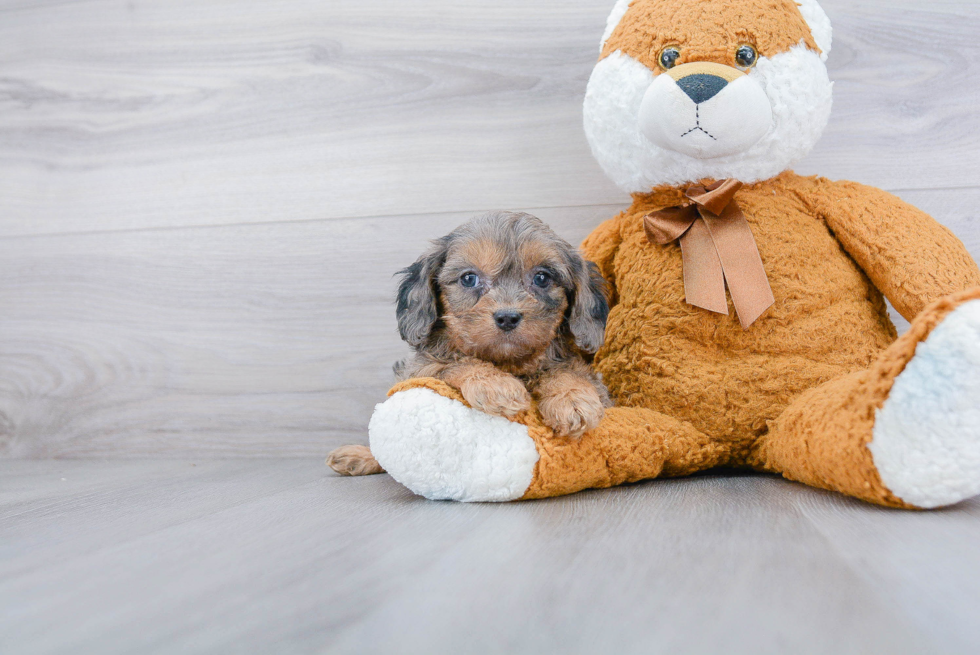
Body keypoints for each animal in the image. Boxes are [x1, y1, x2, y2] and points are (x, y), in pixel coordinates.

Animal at [326, 213, 608, 480]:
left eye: (542, 277)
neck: (509, 362)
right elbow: (455, 363)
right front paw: (495, 384)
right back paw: (359, 456)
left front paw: (572, 399)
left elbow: (568, 371)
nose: (507, 317)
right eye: (469, 278)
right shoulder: (420, 370)